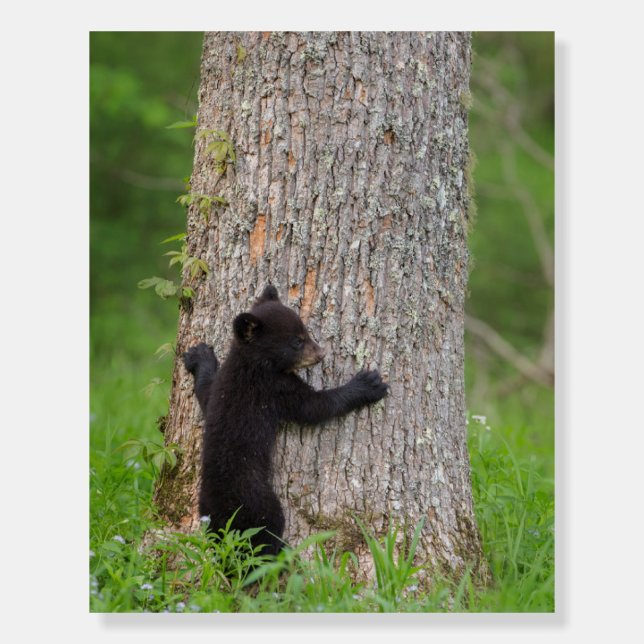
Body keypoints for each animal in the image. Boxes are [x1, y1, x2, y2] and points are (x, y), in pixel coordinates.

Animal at [183, 284, 388, 556]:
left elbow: (206, 393)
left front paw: (198, 355)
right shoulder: (274, 388)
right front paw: (367, 385)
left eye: (305, 332)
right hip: (259, 503)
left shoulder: (221, 388)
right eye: (296, 341)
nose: (321, 353)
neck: (252, 362)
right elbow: (314, 407)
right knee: (264, 538)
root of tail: (221, 516)